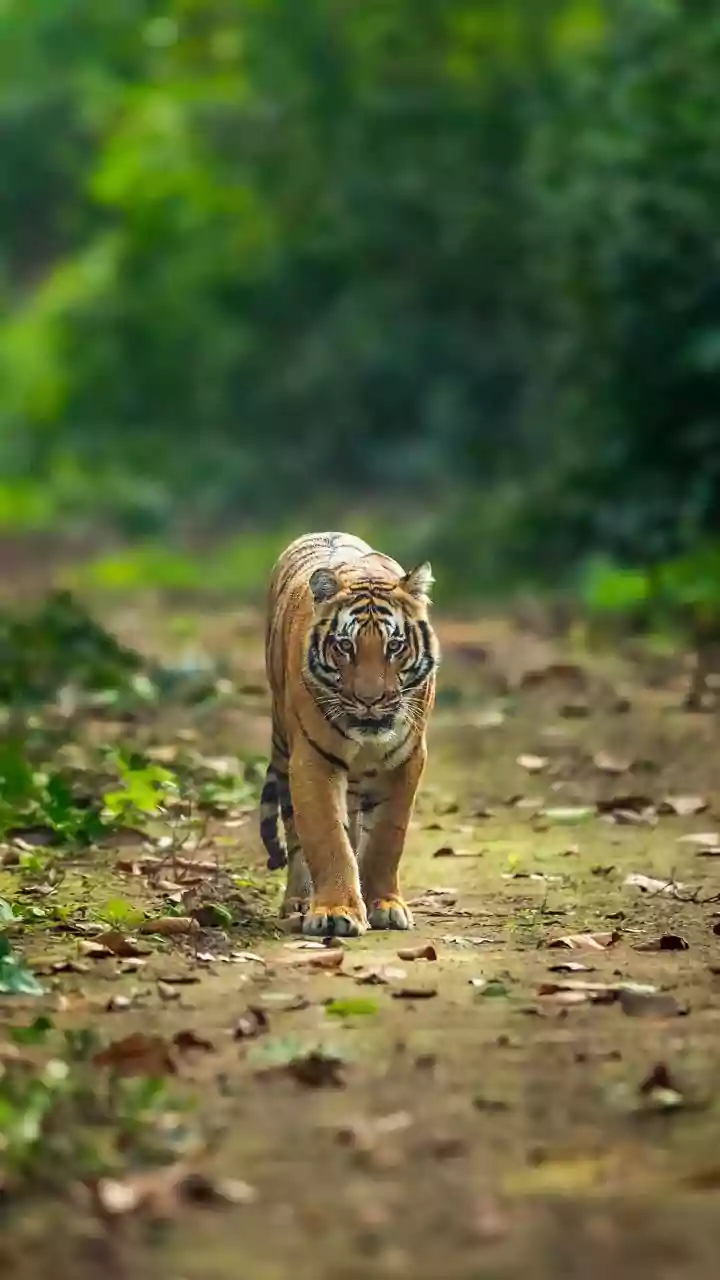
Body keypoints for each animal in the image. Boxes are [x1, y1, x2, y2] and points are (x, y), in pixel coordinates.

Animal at [259, 531, 439, 937]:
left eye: (394, 646)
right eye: (345, 646)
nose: (370, 700)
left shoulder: (407, 760)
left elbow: (387, 837)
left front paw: (385, 904)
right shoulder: (312, 759)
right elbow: (327, 835)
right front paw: (335, 911)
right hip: (284, 744)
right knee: (295, 832)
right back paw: (298, 901)